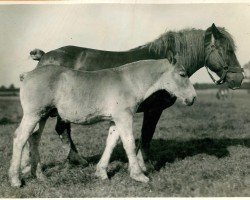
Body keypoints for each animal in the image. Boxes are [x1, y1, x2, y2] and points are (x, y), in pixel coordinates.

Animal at [8, 58, 197, 187]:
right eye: (182, 74)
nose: (193, 98)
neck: (129, 81)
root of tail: (27, 75)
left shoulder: (115, 120)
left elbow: (111, 143)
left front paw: (101, 172)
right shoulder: (124, 117)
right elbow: (129, 143)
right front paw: (139, 175)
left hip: (43, 116)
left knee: (33, 139)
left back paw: (39, 175)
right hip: (33, 115)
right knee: (20, 138)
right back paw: (16, 179)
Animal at [21, 23, 242, 173]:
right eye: (228, 50)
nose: (239, 78)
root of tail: (44, 56)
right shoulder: (154, 110)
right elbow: (146, 135)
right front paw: (145, 165)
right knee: (59, 130)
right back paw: (77, 160)